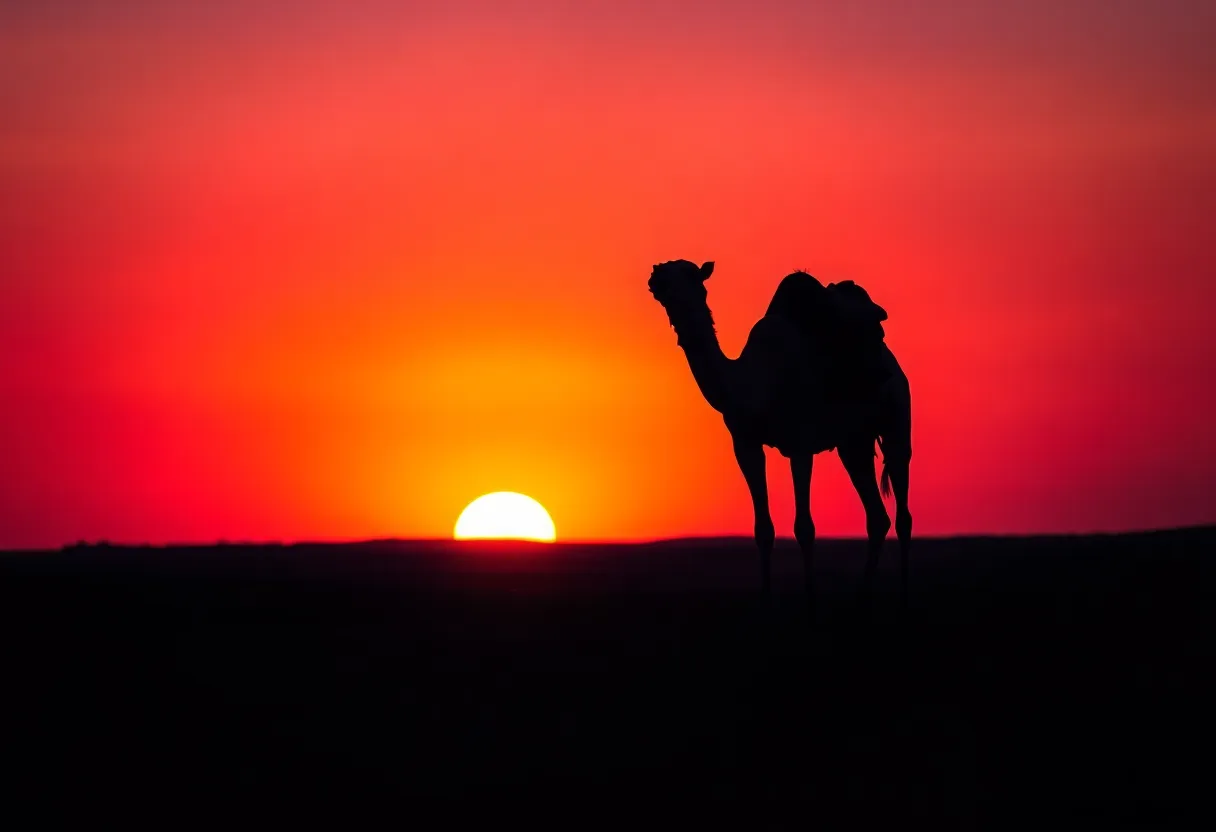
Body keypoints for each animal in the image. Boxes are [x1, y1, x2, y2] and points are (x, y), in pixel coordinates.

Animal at [647, 259, 912, 613]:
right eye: (664, 278)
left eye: (692, 278)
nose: (656, 276)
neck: (752, 383)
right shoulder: (745, 445)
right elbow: (763, 529)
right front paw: (766, 602)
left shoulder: (800, 445)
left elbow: (805, 527)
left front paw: (811, 601)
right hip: (853, 442)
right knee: (877, 517)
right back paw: (862, 598)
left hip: (897, 420)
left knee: (903, 513)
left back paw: (902, 598)